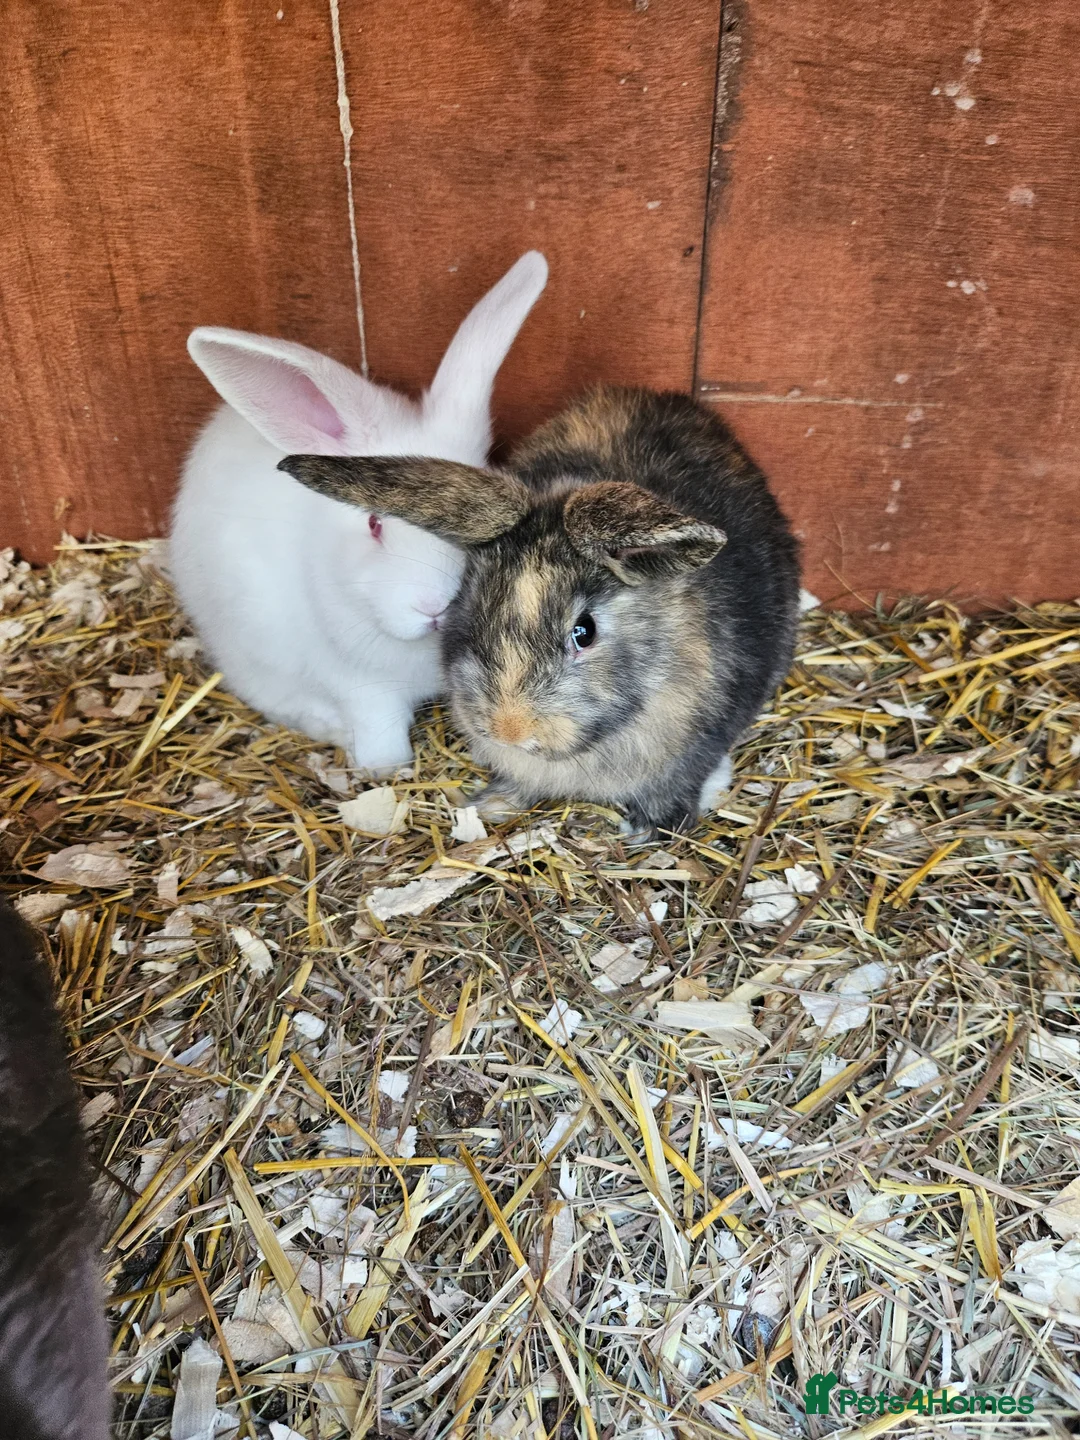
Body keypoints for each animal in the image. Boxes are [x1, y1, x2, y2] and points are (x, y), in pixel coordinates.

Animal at [277, 385, 800, 837]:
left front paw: (653, 831)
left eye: (585, 632)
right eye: (470, 605)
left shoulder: (698, 744)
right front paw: (491, 803)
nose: (509, 730)